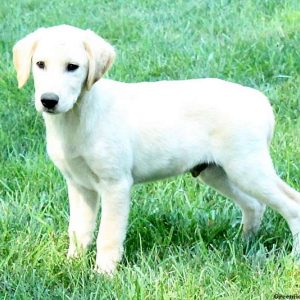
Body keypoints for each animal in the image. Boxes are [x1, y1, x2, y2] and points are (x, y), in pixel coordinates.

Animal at [12, 25, 300, 274]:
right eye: (40, 64)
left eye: (73, 67)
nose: (48, 100)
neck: (78, 116)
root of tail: (259, 100)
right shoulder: (79, 185)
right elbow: (78, 231)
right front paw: (71, 266)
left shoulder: (115, 184)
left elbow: (108, 235)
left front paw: (103, 274)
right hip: (217, 172)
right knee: (254, 205)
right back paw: (243, 244)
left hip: (247, 168)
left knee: (291, 203)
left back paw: (293, 256)